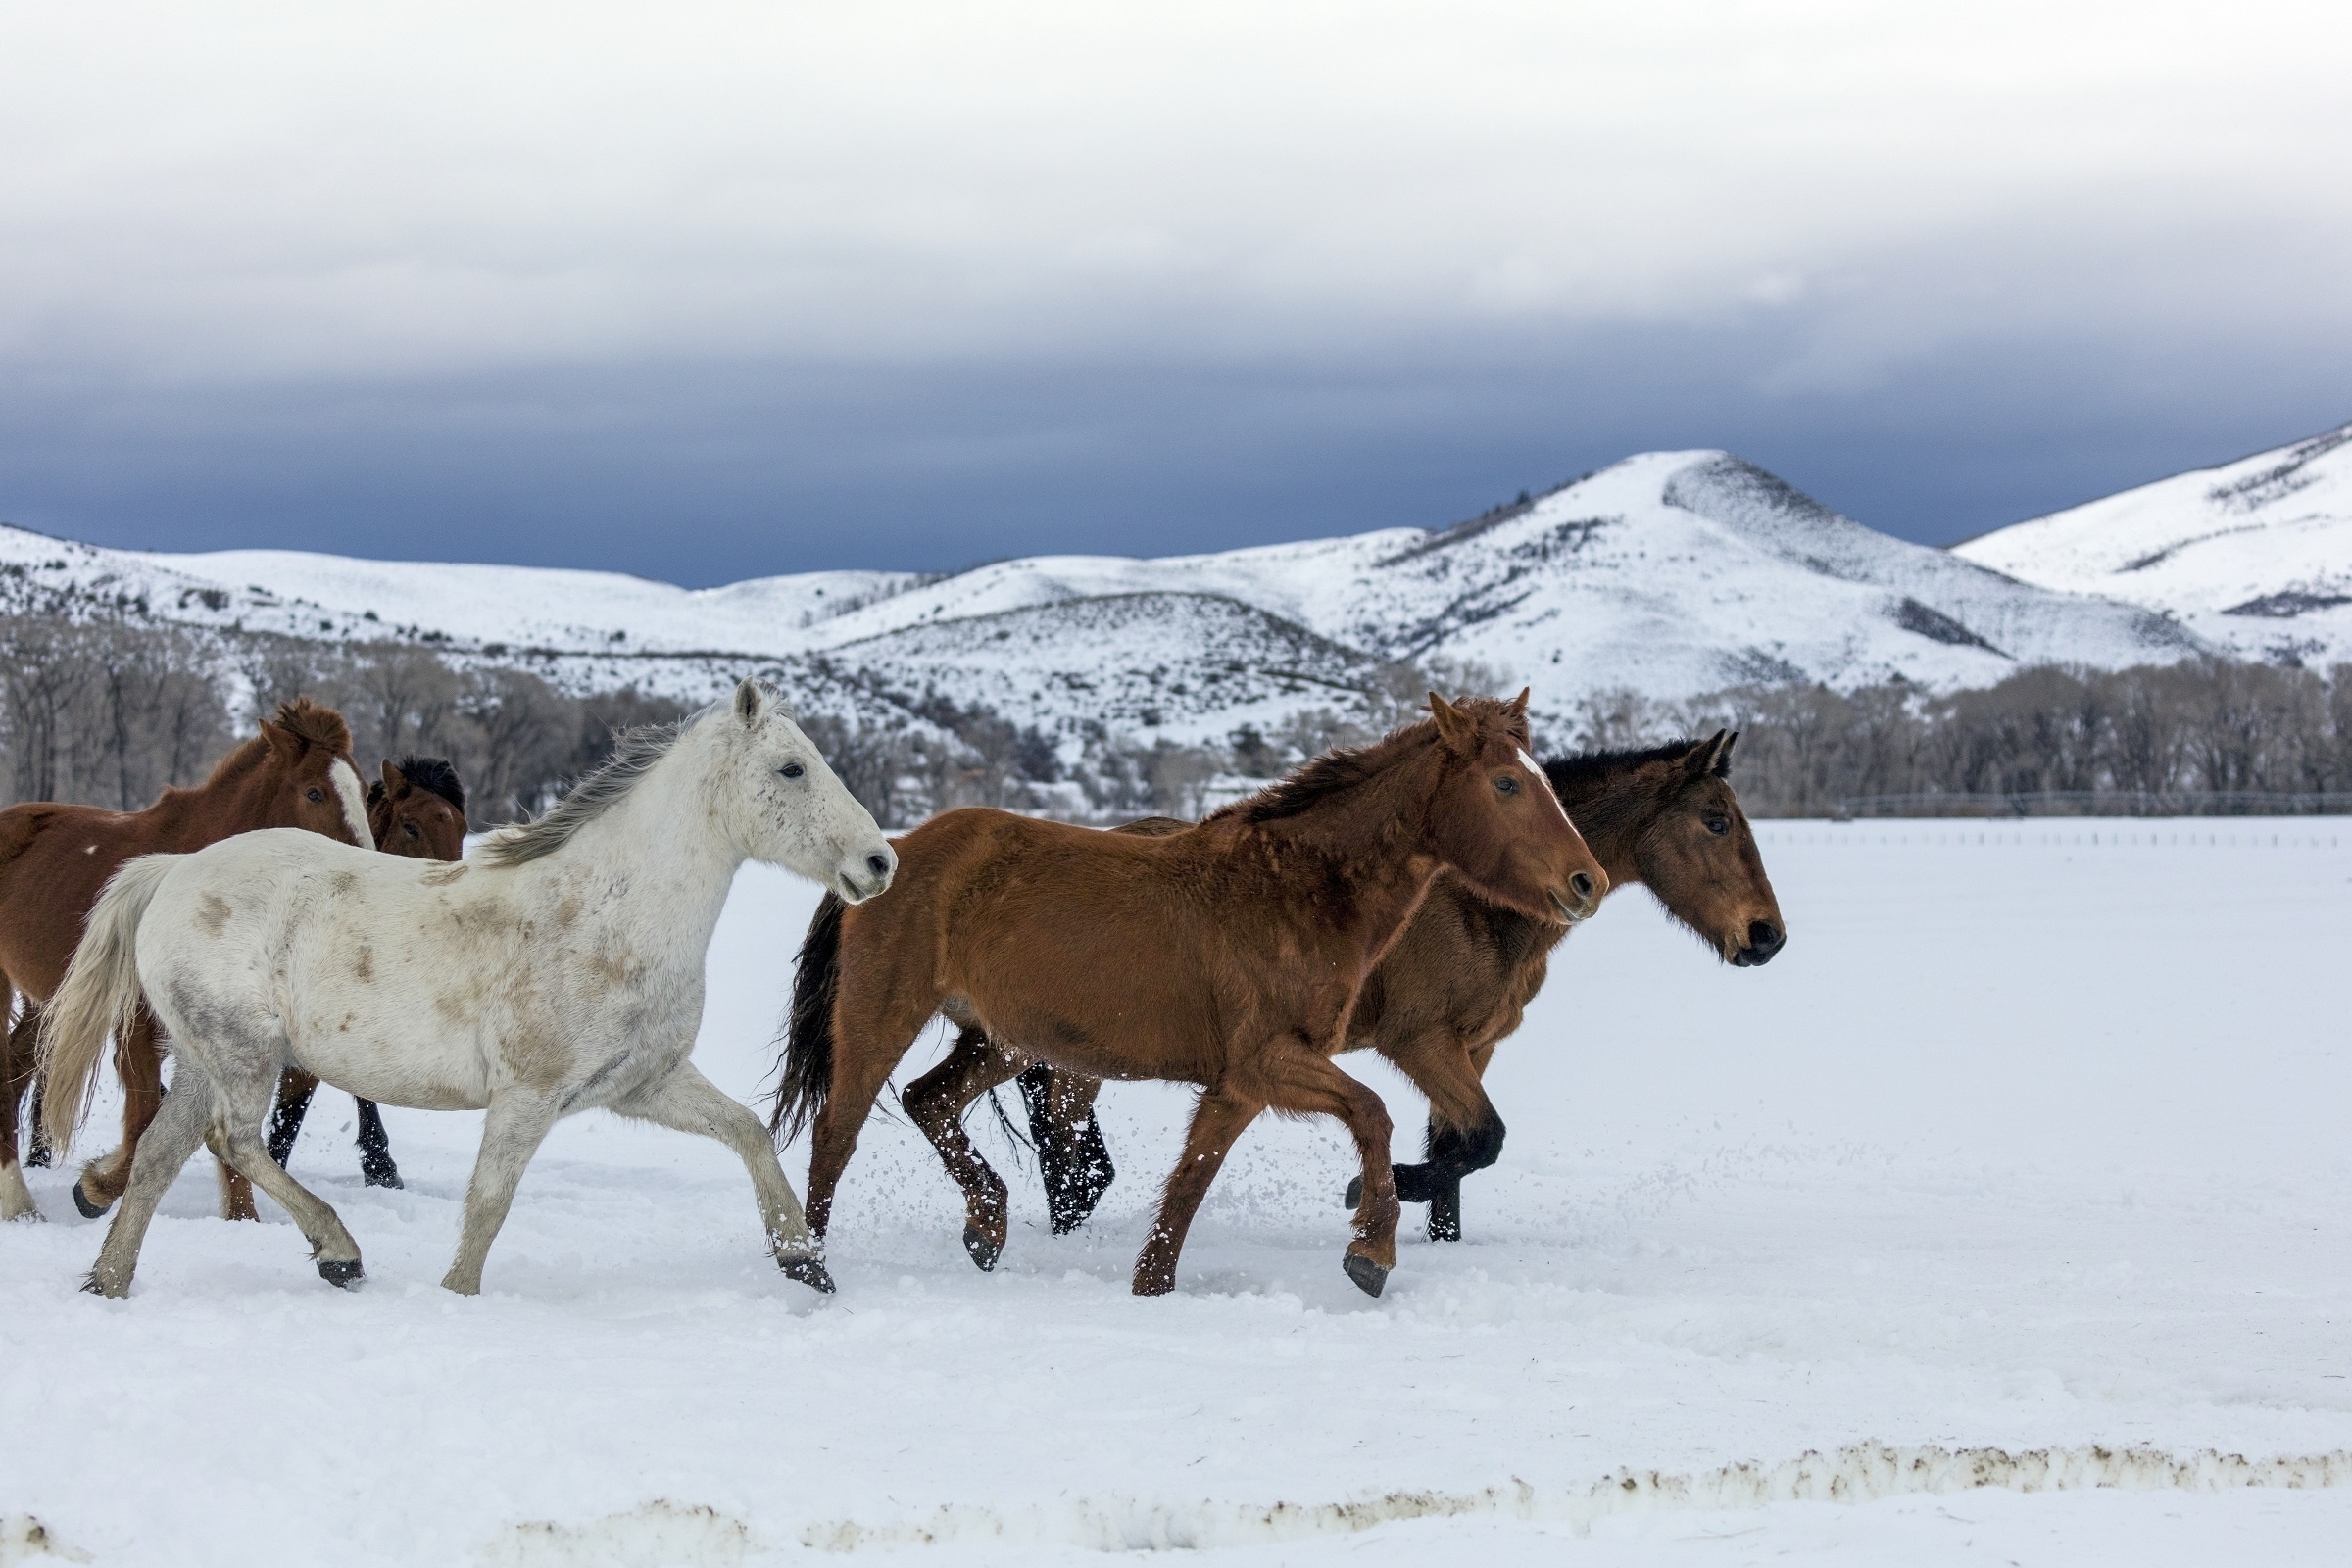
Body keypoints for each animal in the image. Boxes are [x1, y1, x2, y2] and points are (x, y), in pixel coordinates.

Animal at [0, 700, 368, 1222]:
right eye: (314, 791)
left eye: (363, 791)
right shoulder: (135, 1027)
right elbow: (144, 1121)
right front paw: (94, 1189)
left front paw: (244, 1221)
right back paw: (19, 1200)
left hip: (47, 1001)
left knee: (13, 1070)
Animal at [780, 691, 1608, 1298]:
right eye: (1506, 783)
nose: (1587, 882)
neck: (1294, 891)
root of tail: (889, 856)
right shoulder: (1270, 1062)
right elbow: (1372, 1114)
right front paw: (1370, 1250)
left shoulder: (1240, 1085)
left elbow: (1186, 1189)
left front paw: (1152, 1289)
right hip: (882, 1020)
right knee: (835, 1138)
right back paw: (808, 1265)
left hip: (1002, 1040)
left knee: (929, 1100)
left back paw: (986, 1227)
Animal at [988, 728, 1778, 1241]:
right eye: (1715, 821)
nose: (1767, 935)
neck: (1476, 899)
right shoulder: (1421, 1041)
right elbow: (1482, 1140)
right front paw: (1369, 1194)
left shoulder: (1473, 1048)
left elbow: (1456, 1152)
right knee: (1062, 1144)